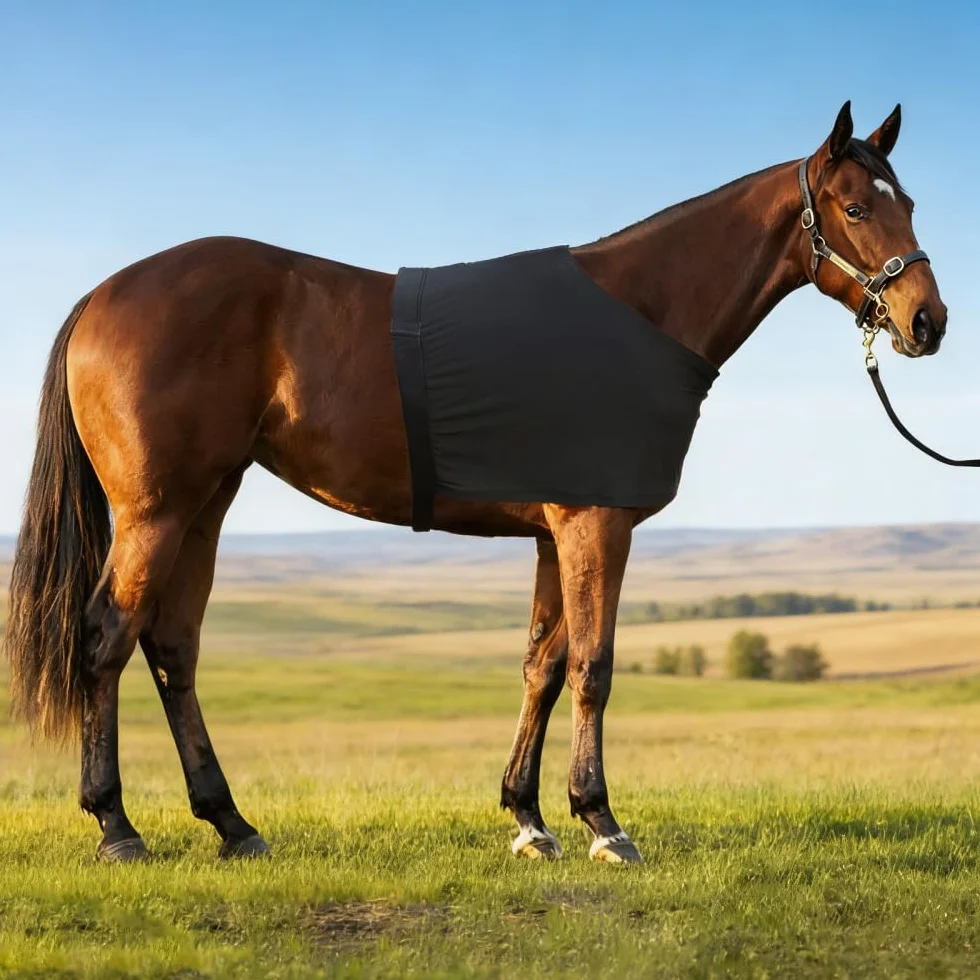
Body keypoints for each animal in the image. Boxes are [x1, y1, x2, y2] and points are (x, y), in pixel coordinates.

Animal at [4, 102, 947, 864]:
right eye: (857, 207)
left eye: (907, 202)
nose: (927, 321)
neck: (640, 312)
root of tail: (103, 295)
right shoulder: (595, 524)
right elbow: (594, 666)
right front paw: (602, 822)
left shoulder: (553, 534)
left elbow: (543, 665)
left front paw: (529, 818)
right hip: (154, 513)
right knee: (105, 639)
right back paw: (117, 827)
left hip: (205, 504)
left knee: (172, 649)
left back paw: (231, 823)